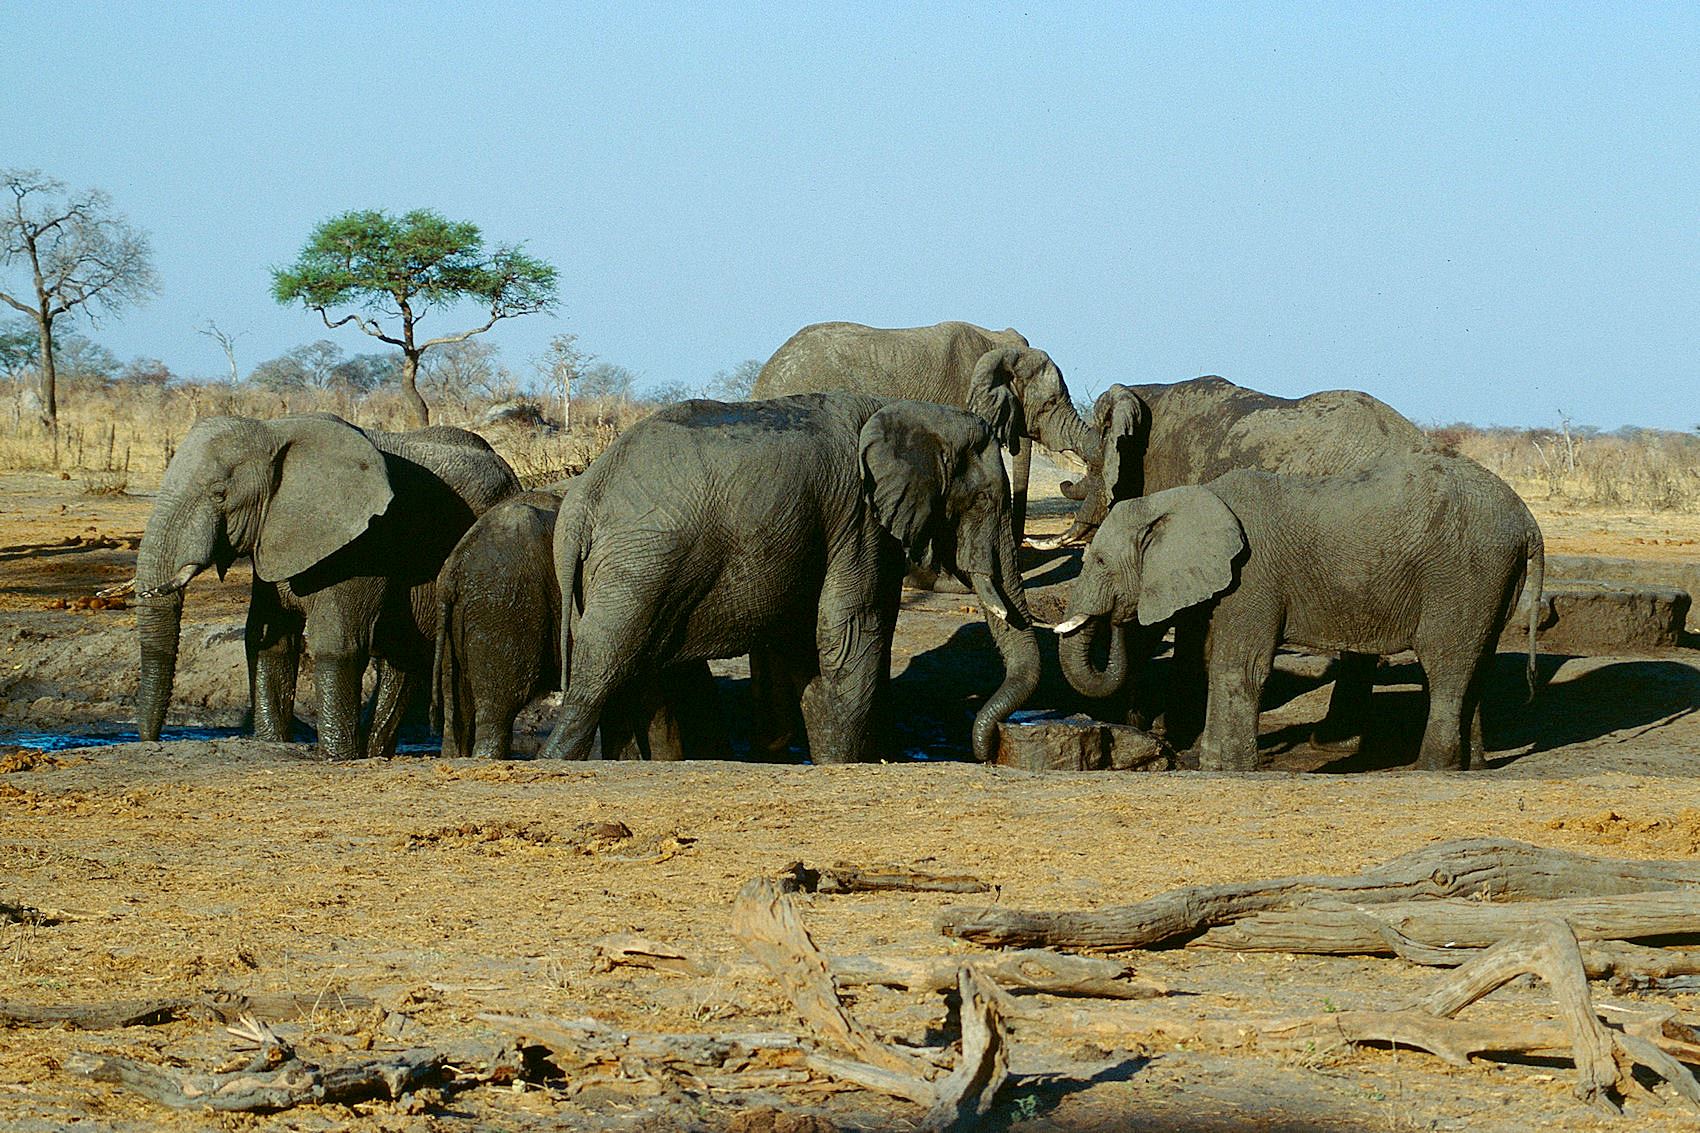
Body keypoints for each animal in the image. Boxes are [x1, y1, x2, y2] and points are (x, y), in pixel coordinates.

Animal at [132, 413, 520, 760]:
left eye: (219, 493)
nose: (151, 741)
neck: (273, 431)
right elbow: (269, 641)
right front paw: (274, 743)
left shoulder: (362, 542)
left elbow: (338, 643)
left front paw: (337, 757)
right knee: (402, 658)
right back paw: (376, 752)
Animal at [536, 393, 1041, 765]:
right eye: (984, 500)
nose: (988, 752)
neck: (907, 411)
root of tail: (581, 501)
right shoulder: (859, 519)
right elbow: (852, 633)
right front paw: (850, 764)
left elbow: (812, 648)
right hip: (639, 569)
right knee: (600, 674)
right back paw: (555, 759)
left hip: (610, 578)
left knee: (630, 682)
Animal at [1054, 454, 1545, 771]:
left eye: (1100, 562)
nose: (1118, 618)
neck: (1184, 500)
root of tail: (1528, 522)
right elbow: (1217, 661)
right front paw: (1208, 762)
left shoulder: (1252, 576)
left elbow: (1240, 667)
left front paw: (1226, 768)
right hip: (1492, 580)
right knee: (1477, 664)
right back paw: (1471, 766)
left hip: (1462, 572)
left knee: (1446, 666)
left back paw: (1429, 768)